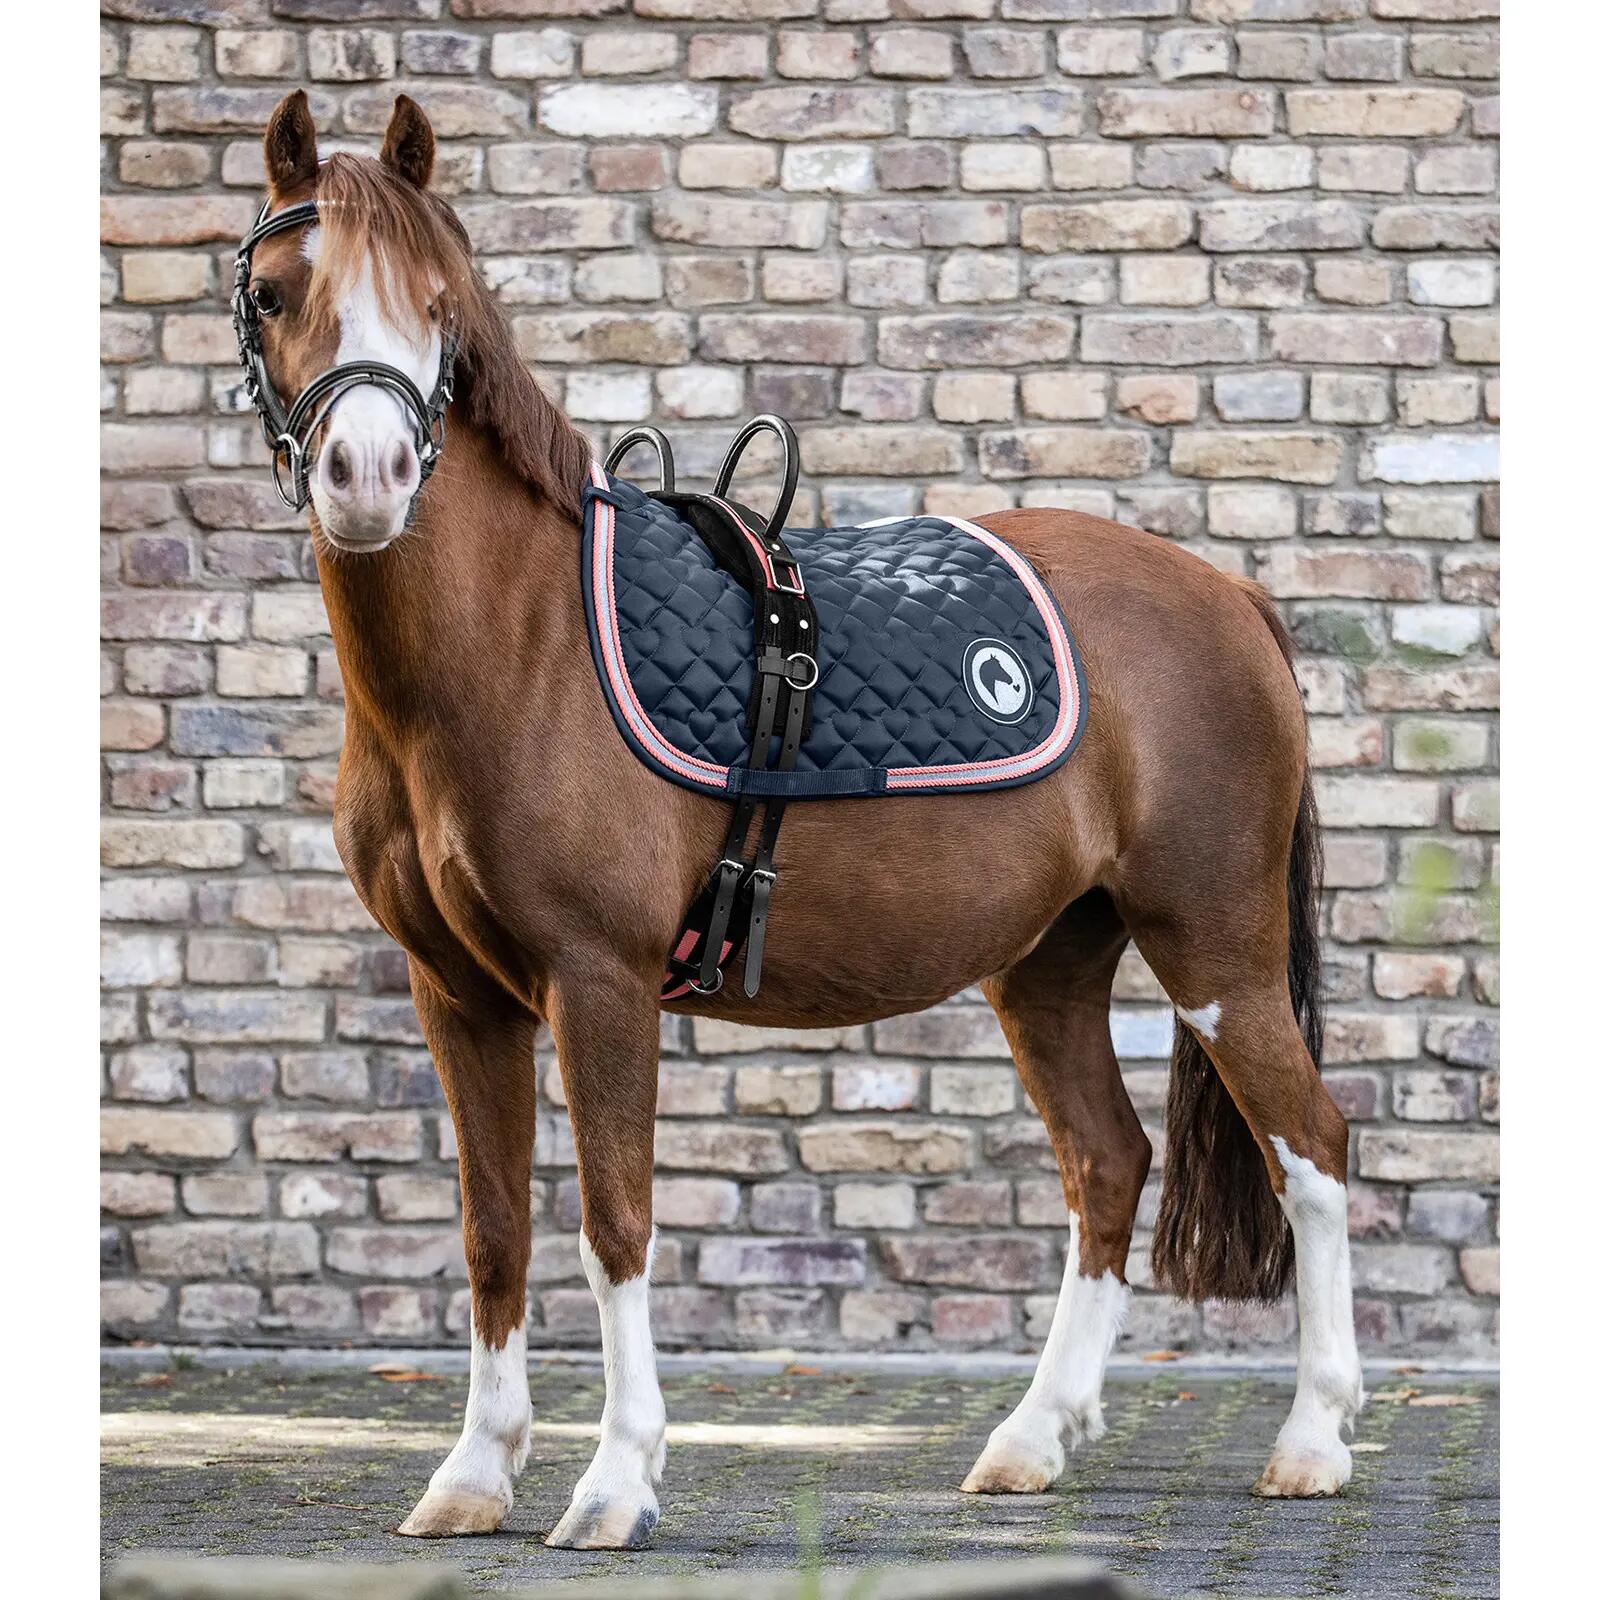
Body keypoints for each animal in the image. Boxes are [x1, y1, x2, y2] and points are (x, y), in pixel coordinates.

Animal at [236, 91, 1362, 1549]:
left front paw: (614, 1483)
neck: (521, 645)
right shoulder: (457, 992)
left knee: (1312, 1151)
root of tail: (1234, 597)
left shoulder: (598, 981)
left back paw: (1311, 1441)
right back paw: (1029, 1440)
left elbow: (615, 1220)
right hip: (1051, 962)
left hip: (1215, 948)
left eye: (439, 304)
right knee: (1107, 1165)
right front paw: (474, 1476)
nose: (366, 475)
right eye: (272, 292)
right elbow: (494, 1231)